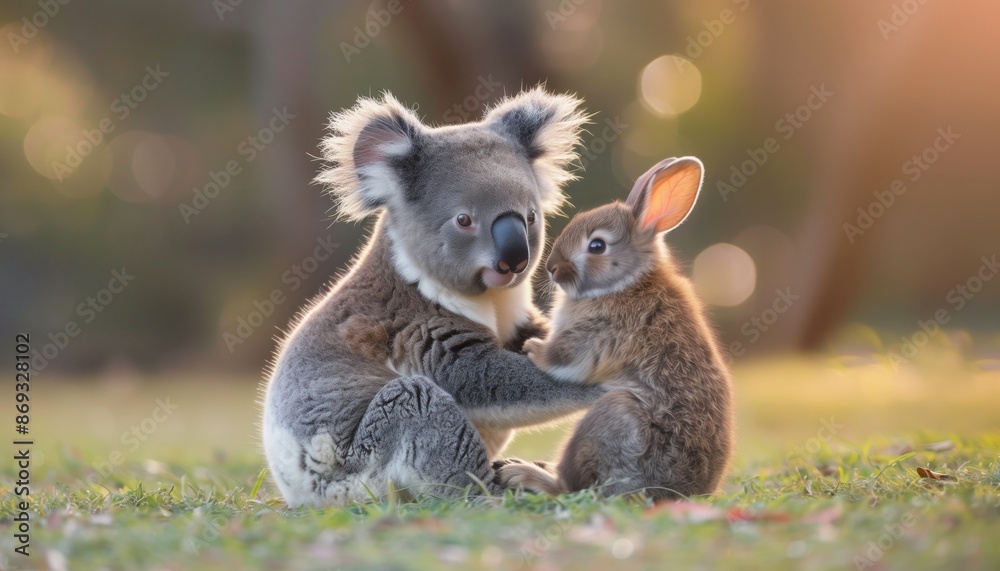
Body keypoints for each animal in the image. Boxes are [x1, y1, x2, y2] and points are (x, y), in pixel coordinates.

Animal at [493, 156, 735, 500]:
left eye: (597, 246)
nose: (552, 268)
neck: (625, 282)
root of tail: (679, 492)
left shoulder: (600, 333)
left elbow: (566, 358)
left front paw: (534, 349)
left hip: (613, 417)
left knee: (571, 487)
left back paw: (523, 474)